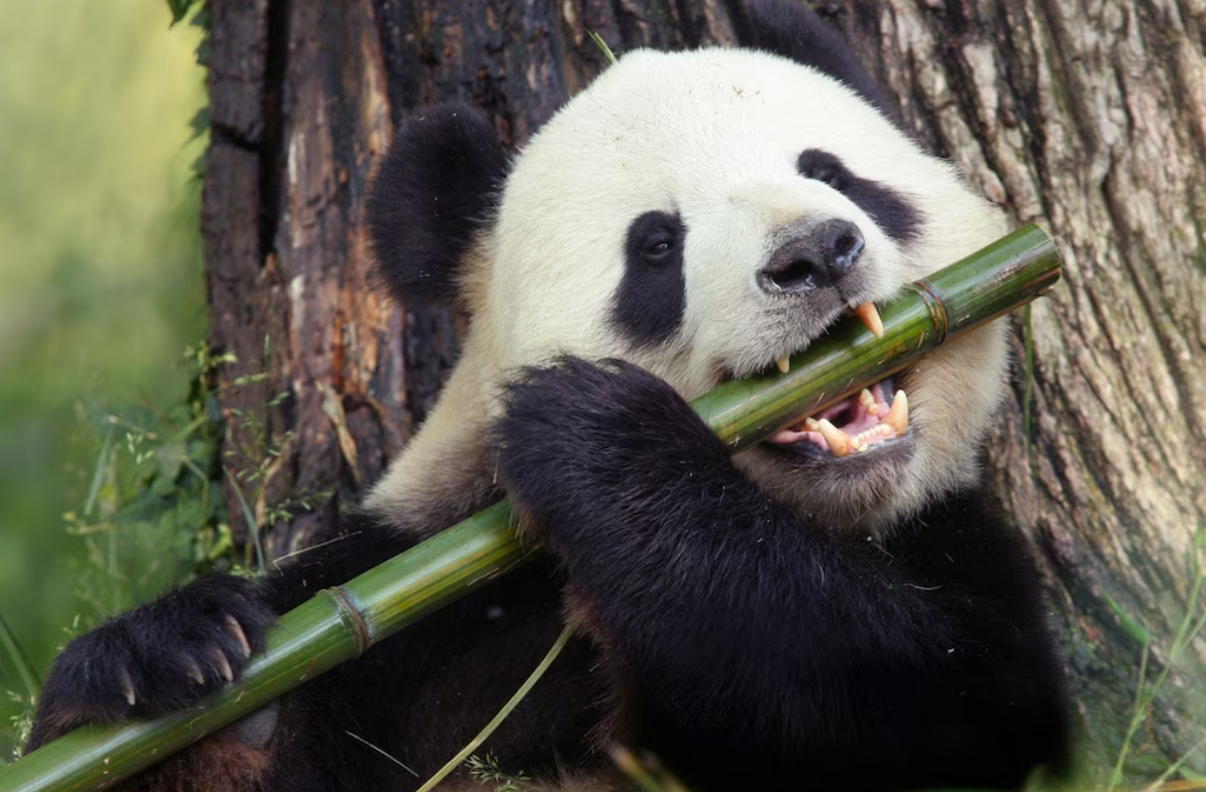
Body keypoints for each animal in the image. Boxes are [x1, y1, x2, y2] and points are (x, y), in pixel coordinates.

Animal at [26, 1, 1068, 790]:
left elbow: (926, 702)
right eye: (657, 245)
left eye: (832, 171)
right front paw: (169, 665)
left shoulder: (954, 541)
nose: (815, 253)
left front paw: (600, 440)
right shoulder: (416, 600)